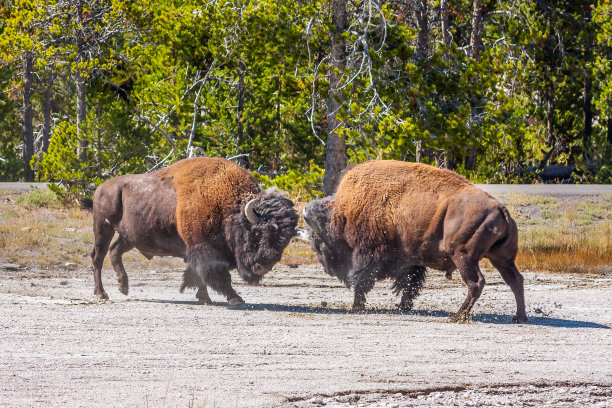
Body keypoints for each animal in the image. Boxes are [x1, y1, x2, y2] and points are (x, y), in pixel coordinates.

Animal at [80, 156, 300, 306]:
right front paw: (235, 298)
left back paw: (123, 287)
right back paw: (102, 293)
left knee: (114, 251)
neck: (229, 207)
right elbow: (215, 275)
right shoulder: (203, 250)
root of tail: (101, 188)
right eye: (256, 233)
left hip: (129, 236)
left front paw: (204, 298)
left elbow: (198, 275)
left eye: (284, 241)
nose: (261, 267)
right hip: (103, 227)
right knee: (98, 257)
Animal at [304, 159, 528, 322]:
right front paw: (403, 306)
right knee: (515, 280)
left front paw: (356, 306)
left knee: (476, 283)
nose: (328, 269)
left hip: (463, 257)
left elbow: (362, 280)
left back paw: (456, 316)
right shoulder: (411, 261)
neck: (343, 211)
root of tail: (501, 208)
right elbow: (408, 284)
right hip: (501, 259)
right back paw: (519, 317)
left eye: (319, 242)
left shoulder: (368, 254)